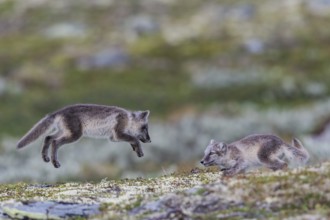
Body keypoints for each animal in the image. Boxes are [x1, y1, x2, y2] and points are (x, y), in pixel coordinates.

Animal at [17, 104, 151, 168]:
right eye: (144, 128)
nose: (150, 140)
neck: (128, 119)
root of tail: (58, 112)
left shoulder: (113, 138)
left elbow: (132, 139)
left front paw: (135, 149)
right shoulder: (117, 134)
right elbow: (134, 138)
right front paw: (139, 151)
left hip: (64, 131)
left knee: (48, 138)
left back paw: (45, 158)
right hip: (74, 135)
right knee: (55, 142)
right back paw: (55, 163)